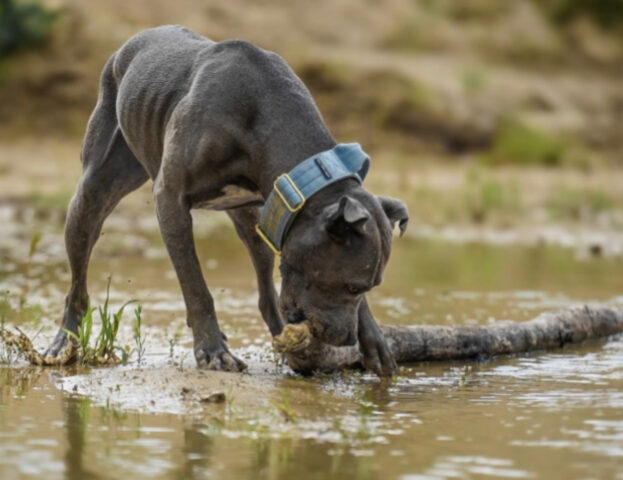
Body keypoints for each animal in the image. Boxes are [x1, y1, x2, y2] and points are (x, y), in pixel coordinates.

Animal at [46, 25, 412, 378]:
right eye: (351, 286)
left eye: (369, 287)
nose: (346, 340)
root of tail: (130, 44)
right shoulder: (170, 201)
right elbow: (195, 285)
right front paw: (212, 350)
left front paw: (375, 343)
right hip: (91, 197)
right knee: (77, 284)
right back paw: (64, 341)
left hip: (256, 224)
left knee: (266, 295)